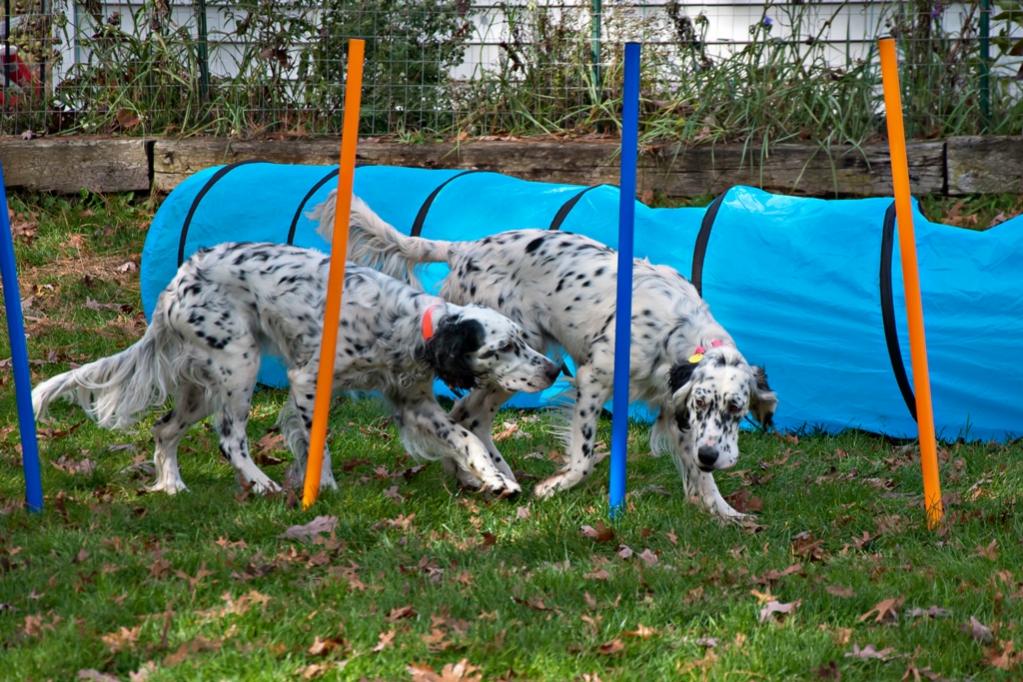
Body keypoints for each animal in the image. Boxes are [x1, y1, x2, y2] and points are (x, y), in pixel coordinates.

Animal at [34, 244, 560, 496]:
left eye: (522, 340)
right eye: (505, 347)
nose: (554, 371)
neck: (407, 326)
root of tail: (178, 282)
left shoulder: (416, 403)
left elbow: (467, 438)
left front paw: (495, 479)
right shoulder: (309, 380)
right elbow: (317, 439)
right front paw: (320, 485)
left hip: (202, 384)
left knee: (164, 431)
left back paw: (173, 486)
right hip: (238, 367)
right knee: (229, 438)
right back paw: (258, 484)